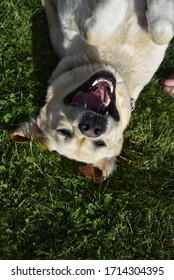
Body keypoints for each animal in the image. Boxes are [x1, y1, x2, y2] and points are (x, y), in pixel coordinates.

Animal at [12, 0, 174, 183]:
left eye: (100, 143)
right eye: (63, 131)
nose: (90, 128)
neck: (111, 65)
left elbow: (161, 32)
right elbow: (93, 33)